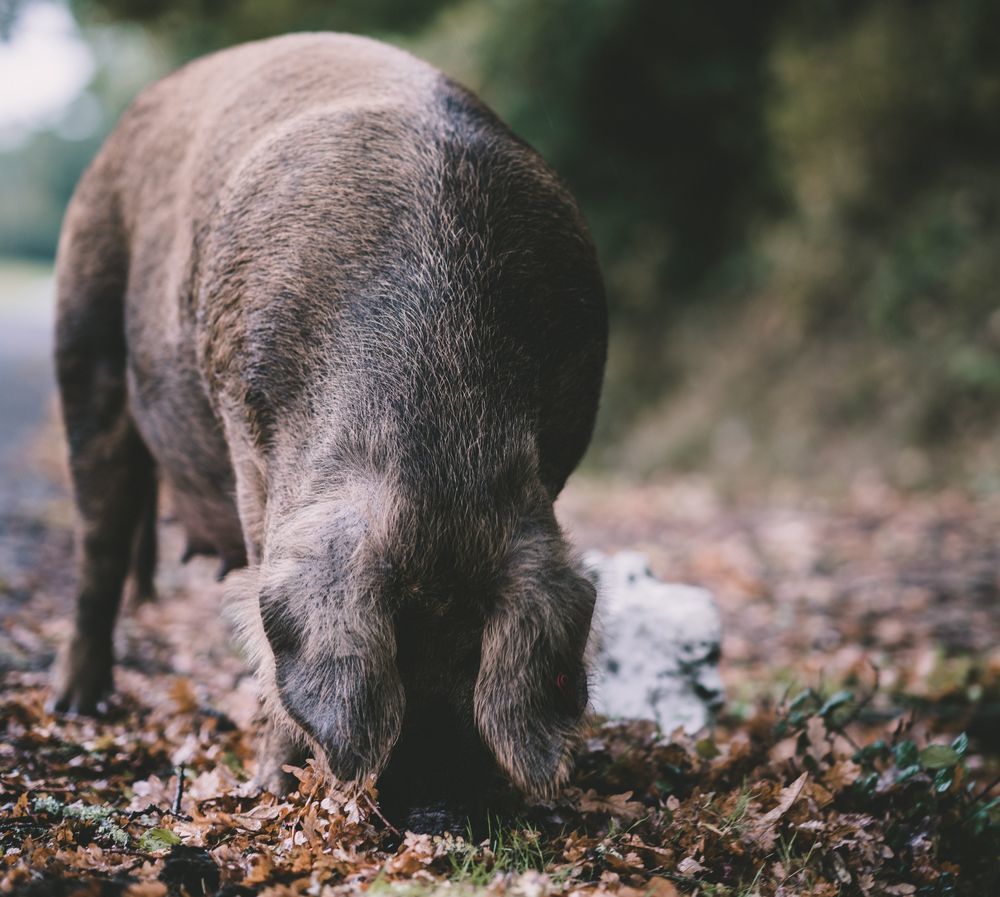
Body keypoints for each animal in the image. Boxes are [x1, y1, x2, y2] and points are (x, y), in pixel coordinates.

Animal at [47, 33, 604, 832]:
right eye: (398, 646)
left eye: (473, 654)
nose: (438, 812)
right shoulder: (247, 438)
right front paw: (272, 789)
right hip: (83, 331)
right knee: (98, 541)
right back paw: (76, 707)